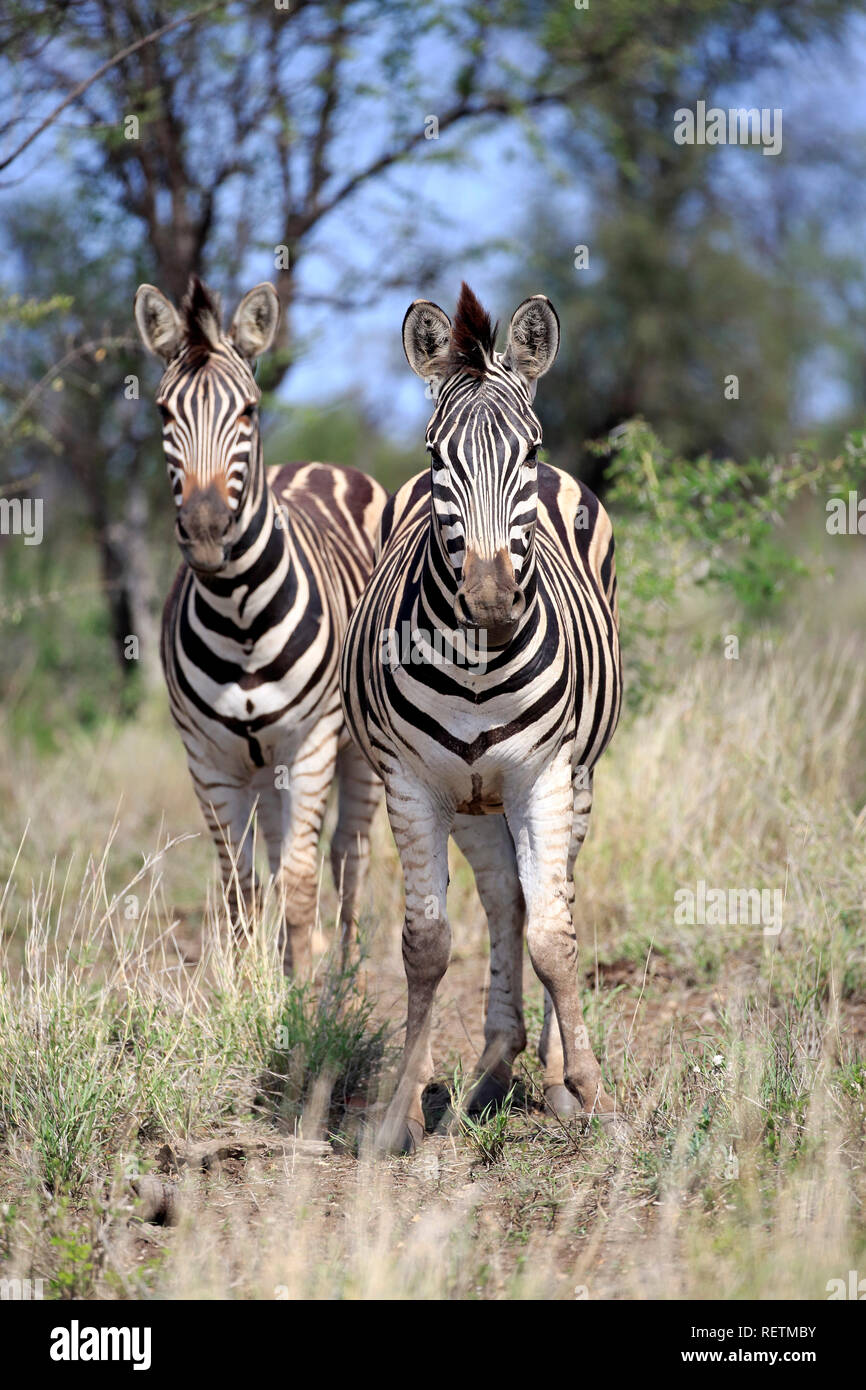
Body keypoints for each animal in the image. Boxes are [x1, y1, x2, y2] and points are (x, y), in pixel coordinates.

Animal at [134, 276, 385, 973]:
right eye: (163, 414)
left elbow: (300, 880)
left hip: (357, 749)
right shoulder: (207, 756)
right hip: (262, 763)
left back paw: (347, 976)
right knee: (274, 856)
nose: (206, 532)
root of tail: (321, 464)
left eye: (247, 411)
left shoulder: (312, 742)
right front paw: (253, 987)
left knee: (348, 855)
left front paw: (299, 994)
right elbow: (240, 885)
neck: (239, 611)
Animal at [341, 283, 623, 1151]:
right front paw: (401, 1108)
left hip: (574, 781)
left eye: (526, 455)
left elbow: (556, 938)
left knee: (555, 895)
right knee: (506, 898)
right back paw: (496, 1064)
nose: (493, 604)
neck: (478, 669)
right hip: (473, 798)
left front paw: (588, 1091)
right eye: (438, 460)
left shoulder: (545, 776)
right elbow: (428, 946)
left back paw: (552, 1076)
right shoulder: (412, 785)